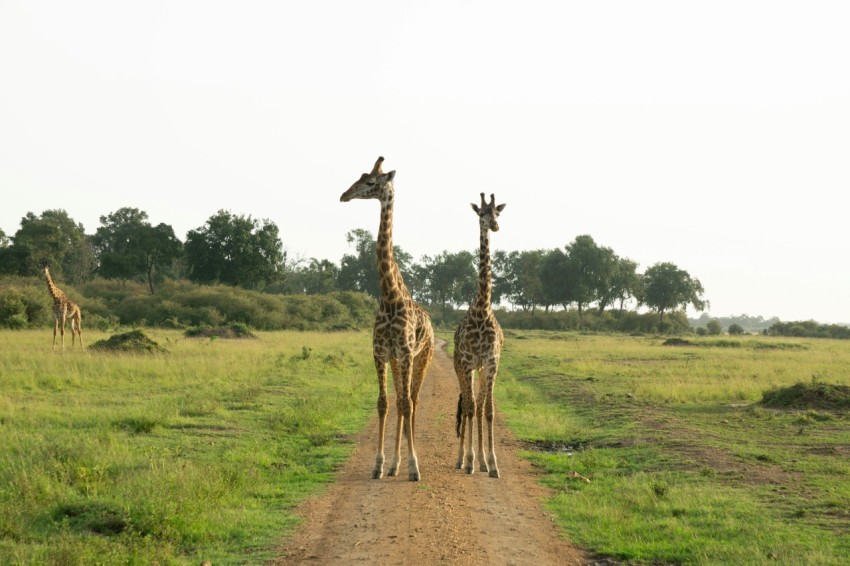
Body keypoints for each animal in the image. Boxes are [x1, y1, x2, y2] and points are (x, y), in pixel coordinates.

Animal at [340, 156, 435, 481]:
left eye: (371, 182)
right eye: (358, 177)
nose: (344, 195)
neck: (390, 296)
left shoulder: (405, 353)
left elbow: (405, 403)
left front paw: (414, 466)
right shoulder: (381, 352)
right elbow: (383, 403)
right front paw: (380, 464)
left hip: (422, 357)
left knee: (412, 401)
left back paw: (407, 463)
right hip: (397, 361)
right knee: (400, 400)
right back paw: (394, 464)